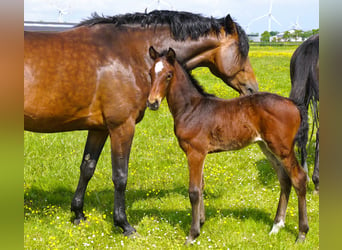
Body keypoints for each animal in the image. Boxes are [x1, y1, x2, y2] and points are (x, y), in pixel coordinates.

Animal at [23, 10, 260, 236]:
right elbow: (120, 176)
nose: (252, 89)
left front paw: (78, 214)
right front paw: (124, 225)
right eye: (242, 51)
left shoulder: (99, 128)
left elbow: (87, 168)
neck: (127, 53)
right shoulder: (122, 127)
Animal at [146, 47, 308, 244]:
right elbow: (201, 187)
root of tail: (293, 104)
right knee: (284, 179)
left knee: (299, 178)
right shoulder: (200, 154)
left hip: (283, 148)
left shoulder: (195, 152)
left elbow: (194, 191)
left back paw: (301, 234)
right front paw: (201, 223)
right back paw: (276, 226)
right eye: (150, 73)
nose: (152, 103)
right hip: (267, 147)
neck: (191, 109)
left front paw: (192, 235)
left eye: (168, 75)